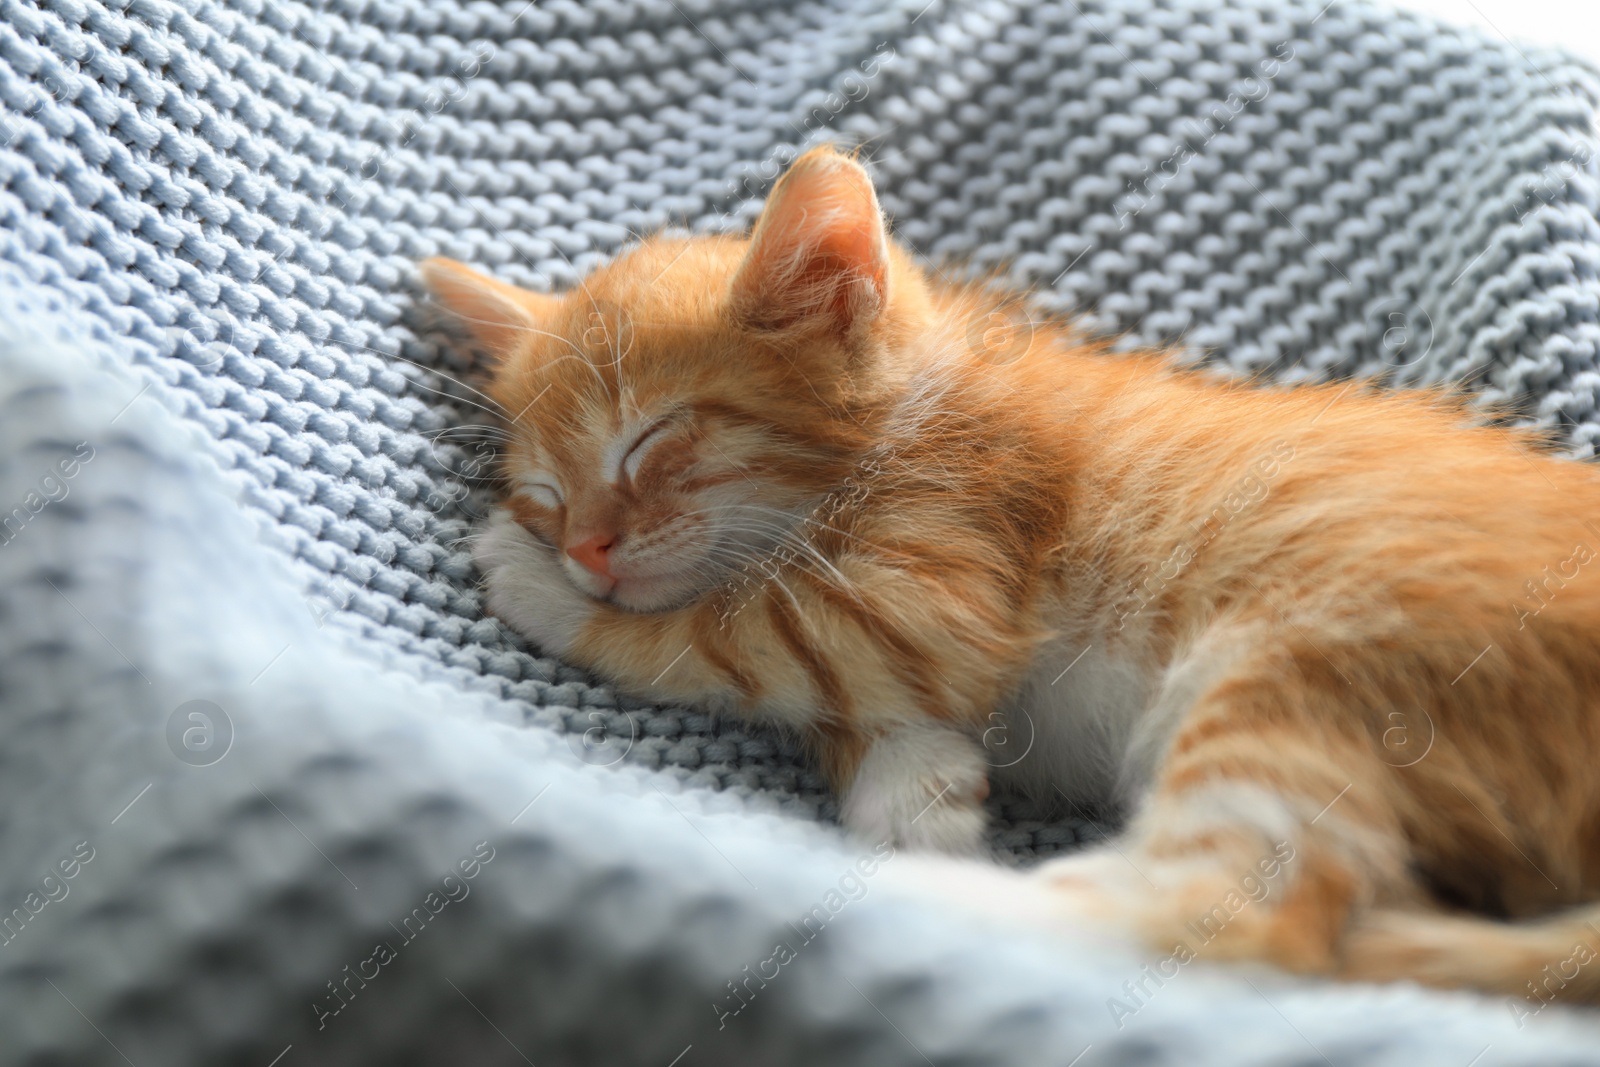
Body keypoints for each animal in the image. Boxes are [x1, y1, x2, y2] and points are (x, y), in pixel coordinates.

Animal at [422, 147, 1600, 1004]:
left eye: (653, 443)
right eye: (545, 488)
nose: (583, 547)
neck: (919, 411)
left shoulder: (933, 581)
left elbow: (731, 628)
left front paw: (532, 582)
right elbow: (852, 692)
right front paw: (915, 785)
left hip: (1305, 667)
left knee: (1238, 920)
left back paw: (895, 895)